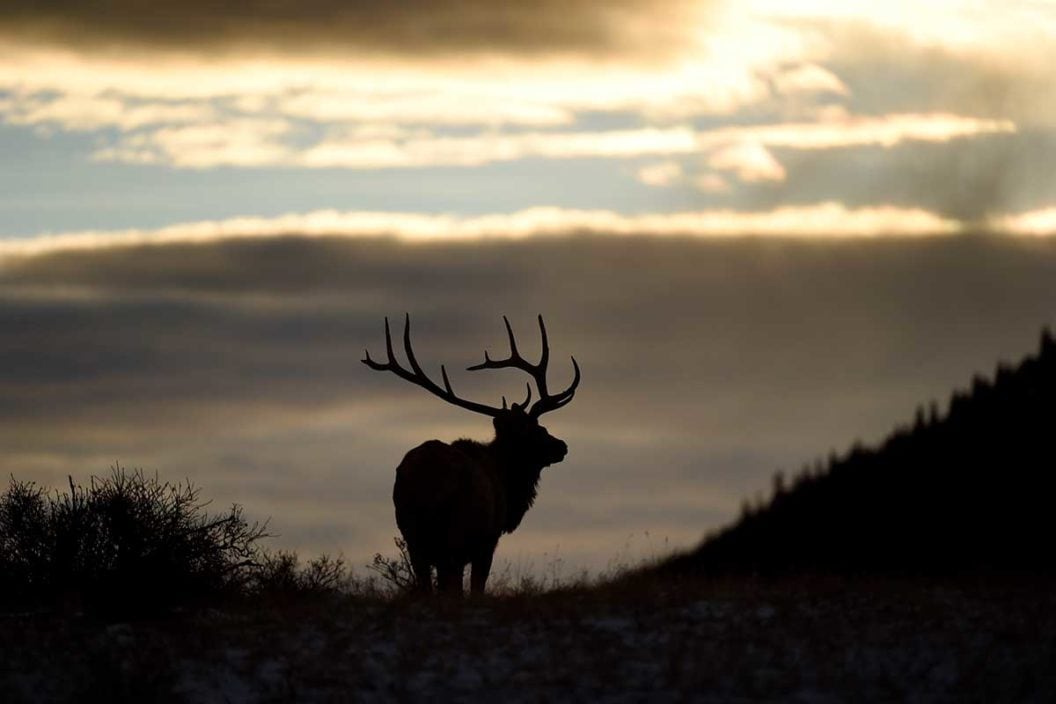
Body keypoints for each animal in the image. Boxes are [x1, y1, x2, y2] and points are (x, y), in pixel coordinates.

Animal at [361, 314, 578, 595]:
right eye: (536, 429)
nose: (561, 446)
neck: (507, 485)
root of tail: (423, 477)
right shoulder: (488, 540)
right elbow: (476, 588)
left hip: (413, 535)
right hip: (453, 533)